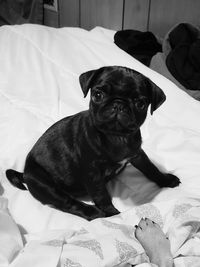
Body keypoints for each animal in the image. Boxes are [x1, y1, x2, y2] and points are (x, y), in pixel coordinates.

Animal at [5, 66, 180, 221]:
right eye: (97, 95)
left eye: (140, 104)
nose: (118, 104)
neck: (116, 136)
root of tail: (24, 173)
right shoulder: (93, 174)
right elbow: (101, 195)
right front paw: (113, 215)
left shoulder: (137, 154)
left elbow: (150, 168)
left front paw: (165, 179)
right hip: (45, 185)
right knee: (68, 203)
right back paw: (93, 213)